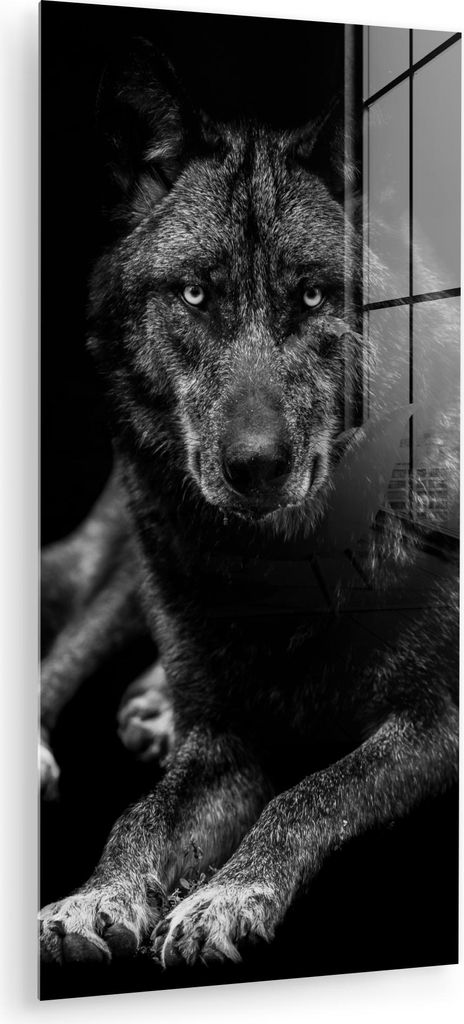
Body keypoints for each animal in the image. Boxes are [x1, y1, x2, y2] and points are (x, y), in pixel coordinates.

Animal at [40, 40, 459, 969]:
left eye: (312, 295)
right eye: (196, 294)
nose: (254, 467)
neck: (288, 572)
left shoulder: (437, 719)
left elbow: (313, 791)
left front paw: (225, 893)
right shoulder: (225, 742)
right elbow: (142, 814)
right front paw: (95, 896)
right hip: (142, 554)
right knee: (70, 643)